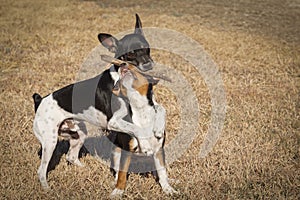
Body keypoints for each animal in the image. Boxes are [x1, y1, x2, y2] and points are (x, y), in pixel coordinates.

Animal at [31, 14, 156, 189]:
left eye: (146, 47)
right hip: (50, 141)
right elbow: (137, 130)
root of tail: (40, 100)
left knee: (71, 156)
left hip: (78, 134)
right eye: (130, 54)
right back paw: (47, 189)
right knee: (41, 171)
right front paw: (146, 147)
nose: (148, 63)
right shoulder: (114, 122)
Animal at [106, 58, 178, 198]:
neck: (140, 109)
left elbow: (162, 172)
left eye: (134, 65)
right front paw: (118, 191)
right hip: (116, 151)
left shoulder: (158, 150)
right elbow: (122, 174)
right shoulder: (126, 151)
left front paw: (168, 189)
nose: (122, 63)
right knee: (118, 172)